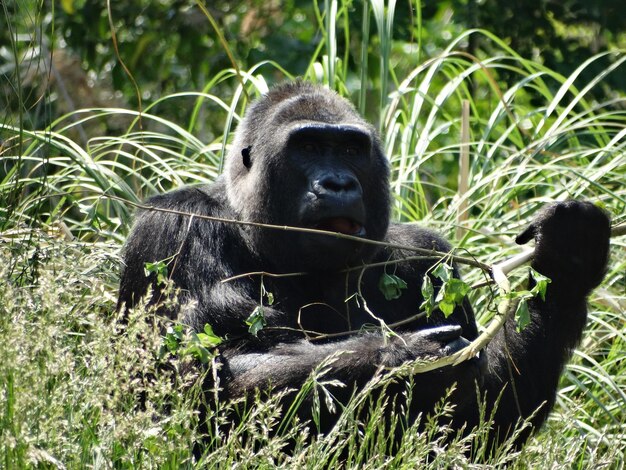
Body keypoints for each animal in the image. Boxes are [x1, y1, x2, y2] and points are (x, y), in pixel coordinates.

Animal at [117, 81, 608, 452]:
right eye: (308, 146)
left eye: (351, 150)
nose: (338, 183)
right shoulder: (174, 225)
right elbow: (194, 378)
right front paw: (404, 355)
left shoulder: (427, 255)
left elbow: (479, 428)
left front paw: (568, 261)